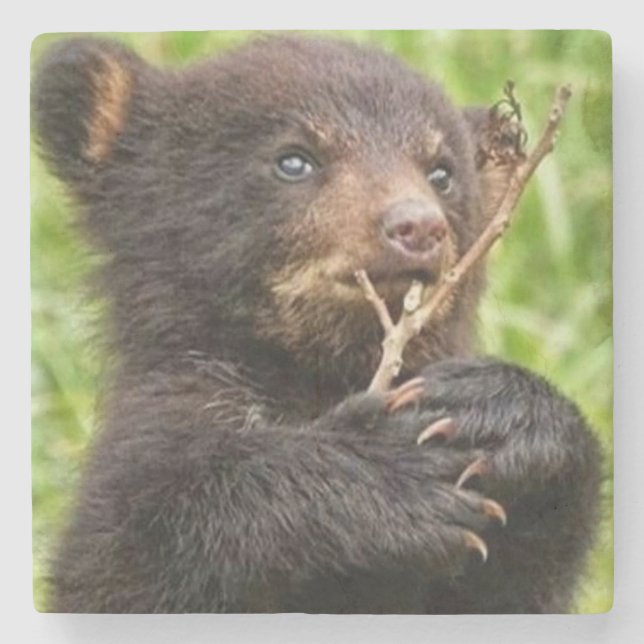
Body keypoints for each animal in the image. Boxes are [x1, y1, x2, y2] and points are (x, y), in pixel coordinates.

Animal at [32, 34, 601, 613]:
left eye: (441, 171)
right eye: (294, 159)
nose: (417, 226)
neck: (315, 375)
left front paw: (495, 415)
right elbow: (129, 555)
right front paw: (393, 471)